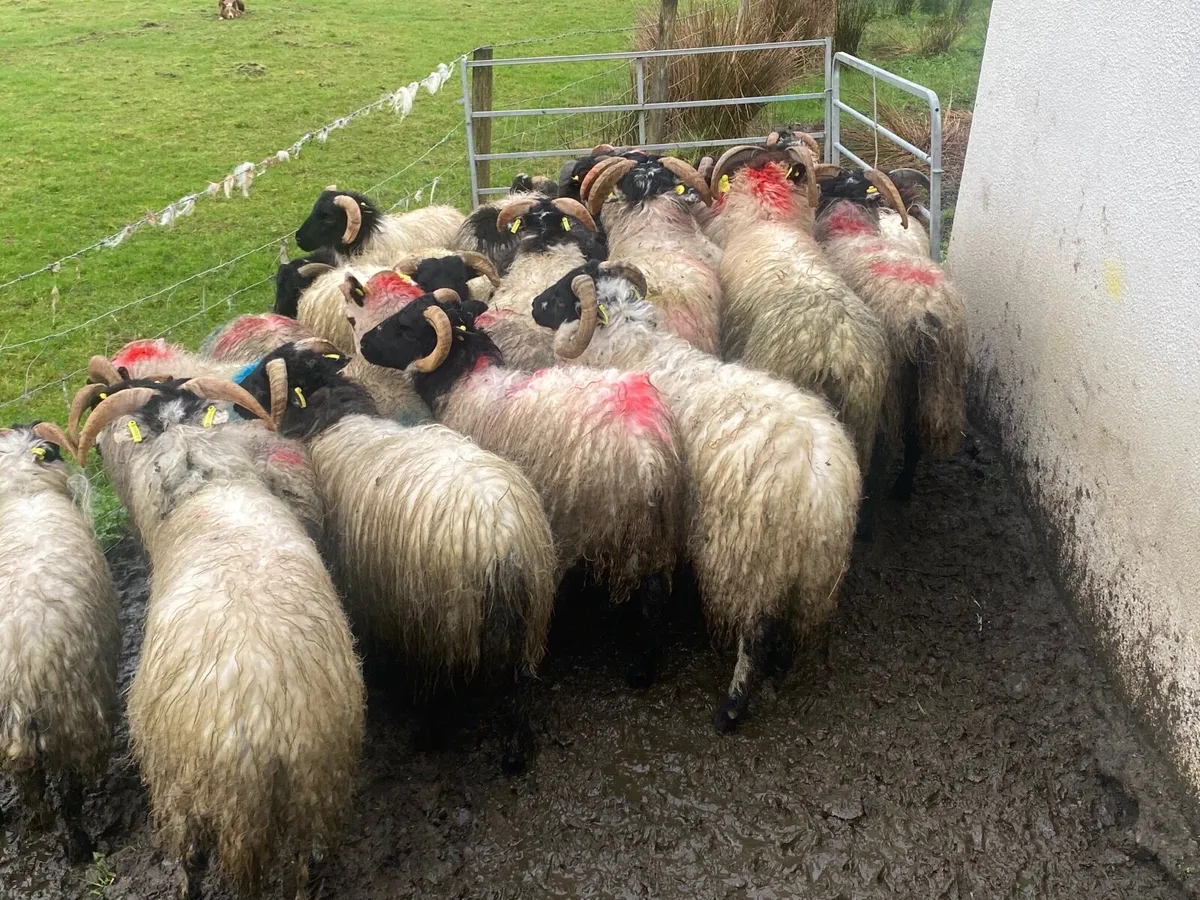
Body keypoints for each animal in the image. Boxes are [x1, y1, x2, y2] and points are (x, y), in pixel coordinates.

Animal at [72, 378, 364, 900]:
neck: (204, 482)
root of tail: (261, 726)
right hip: (315, 785)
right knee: (300, 864)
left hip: (183, 786)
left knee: (193, 859)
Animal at [234, 341, 558, 772]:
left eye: (267, 376)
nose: (236, 402)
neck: (333, 419)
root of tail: (504, 540)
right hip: (530, 614)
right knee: (521, 684)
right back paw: (515, 754)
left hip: (439, 623)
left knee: (442, 687)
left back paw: (428, 735)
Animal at [347, 273, 689, 687]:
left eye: (405, 327)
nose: (365, 343)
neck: (465, 380)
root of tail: (651, 451)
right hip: (658, 527)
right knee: (655, 593)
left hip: (614, 526)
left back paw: (637, 668)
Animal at [530, 261, 861, 730]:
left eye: (562, 296)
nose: (532, 305)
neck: (632, 348)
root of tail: (818, 481)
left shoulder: (653, 519)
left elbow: (652, 598)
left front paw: (642, 669)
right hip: (811, 566)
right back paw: (780, 666)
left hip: (748, 558)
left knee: (755, 634)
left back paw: (731, 707)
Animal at [813, 166, 968, 507]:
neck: (850, 230)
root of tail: (926, 317)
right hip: (939, 382)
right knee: (916, 438)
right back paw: (903, 489)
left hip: (894, 387)